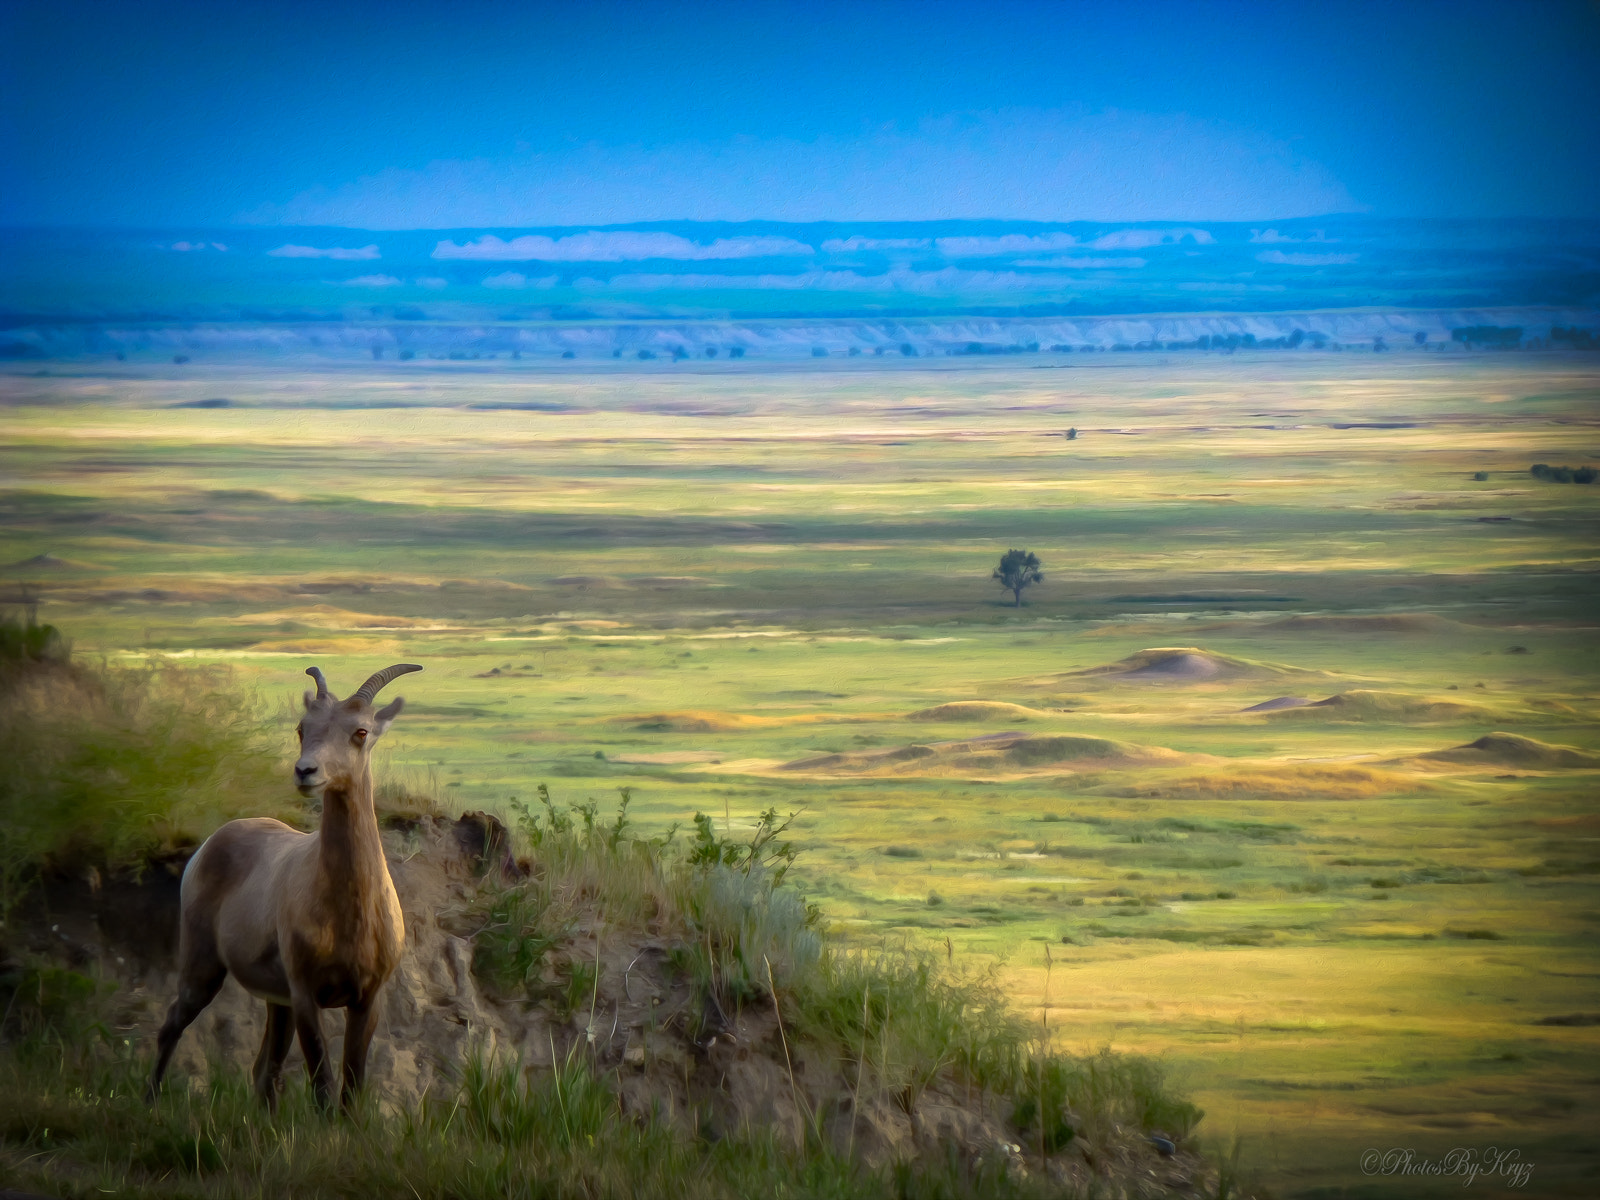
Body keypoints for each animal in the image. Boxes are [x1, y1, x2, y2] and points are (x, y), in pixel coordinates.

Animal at [148, 662, 422, 1113]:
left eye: (360, 731)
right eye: (301, 727)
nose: (306, 772)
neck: (349, 914)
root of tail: (209, 845)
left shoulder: (366, 1000)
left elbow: (350, 1087)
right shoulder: (305, 994)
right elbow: (323, 1086)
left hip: (276, 1004)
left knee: (264, 1071)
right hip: (203, 969)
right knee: (172, 1025)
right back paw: (148, 1101)